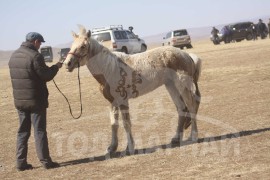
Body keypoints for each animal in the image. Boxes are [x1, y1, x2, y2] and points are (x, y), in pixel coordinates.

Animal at [63, 26, 201, 154]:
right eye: (71, 46)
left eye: (83, 46)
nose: (67, 64)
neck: (110, 69)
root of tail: (187, 55)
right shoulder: (112, 102)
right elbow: (114, 123)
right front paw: (111, 148)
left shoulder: (122, 100)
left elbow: (126, 123)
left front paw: (129, 148)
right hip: (171, 86)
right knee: (181, 108)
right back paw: (176, 138)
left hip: (182, 86)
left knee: (191, 106)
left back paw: (193, 136)